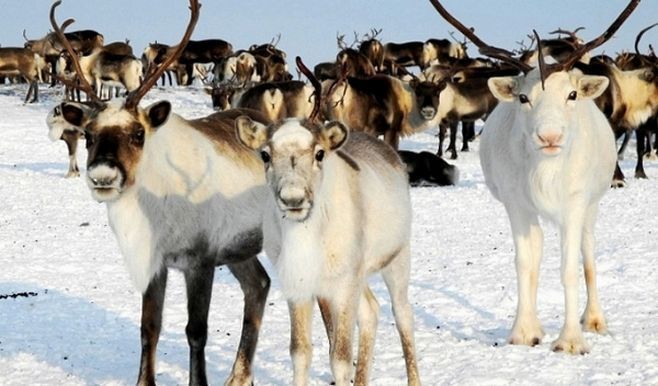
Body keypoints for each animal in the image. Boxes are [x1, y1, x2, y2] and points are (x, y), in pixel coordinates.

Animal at [236, 116, 418, 384]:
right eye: (265, 154)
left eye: (319, 153)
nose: (293, 198)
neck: (305, 237)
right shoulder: (298, 285)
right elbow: (300, 352)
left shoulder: (344, 285)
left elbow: (340, 359)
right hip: (359, 275)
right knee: (371, 311)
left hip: (397, 257)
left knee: (403, 314)